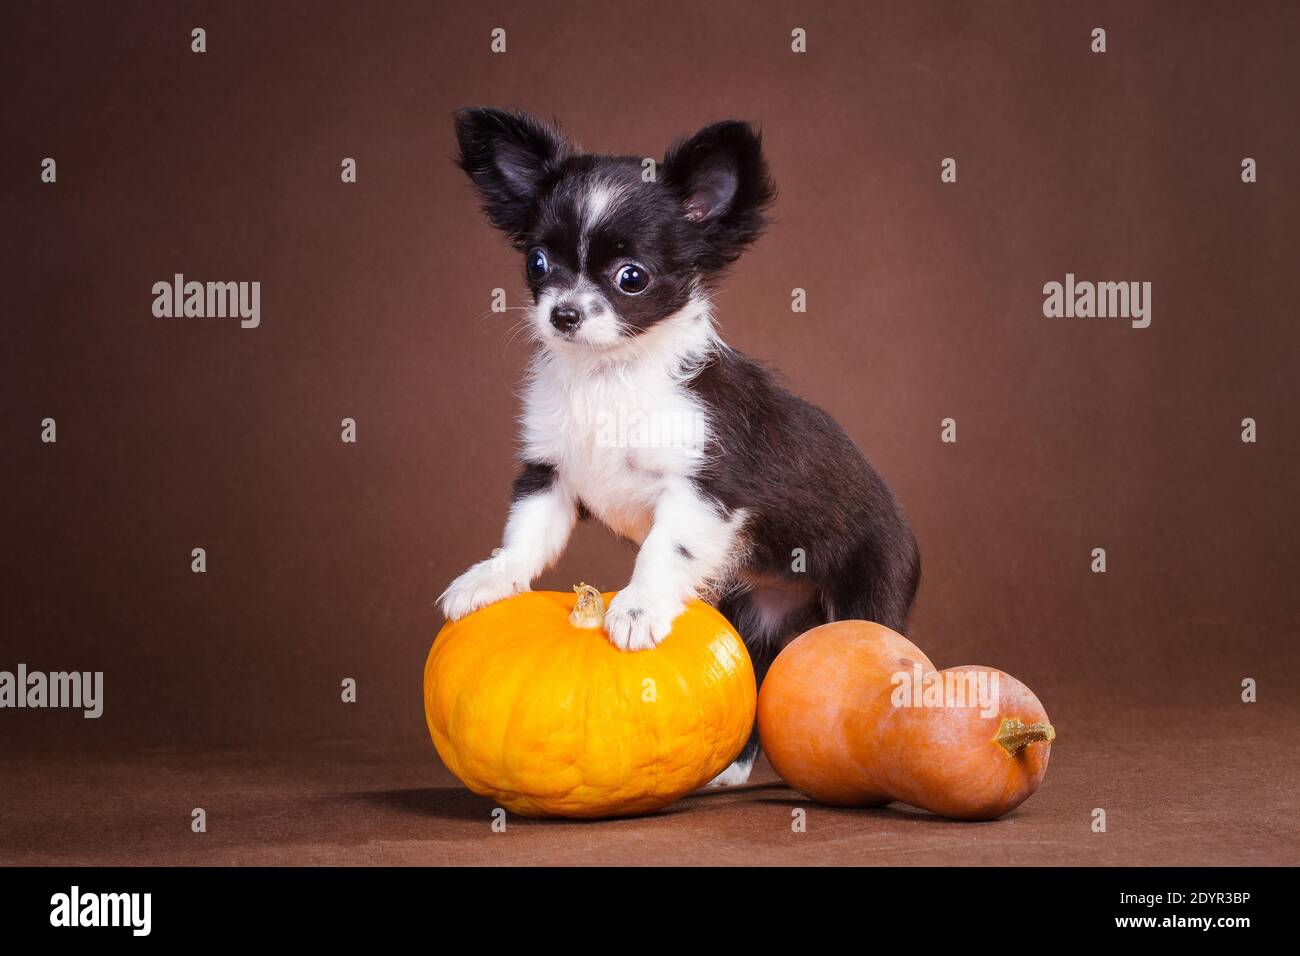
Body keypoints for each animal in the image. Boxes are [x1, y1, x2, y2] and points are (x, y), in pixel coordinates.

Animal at [441, 110, 920, 785]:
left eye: (631, 278)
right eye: (537, 263)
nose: (563, 314)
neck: (609, 378)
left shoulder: (703, 489)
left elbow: (665, 549)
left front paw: (639, 607)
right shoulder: (550, 474)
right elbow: (527, 536)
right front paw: (491, 577)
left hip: (869, 594)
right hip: (753, 613)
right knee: (754, 676)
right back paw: (729, 772)